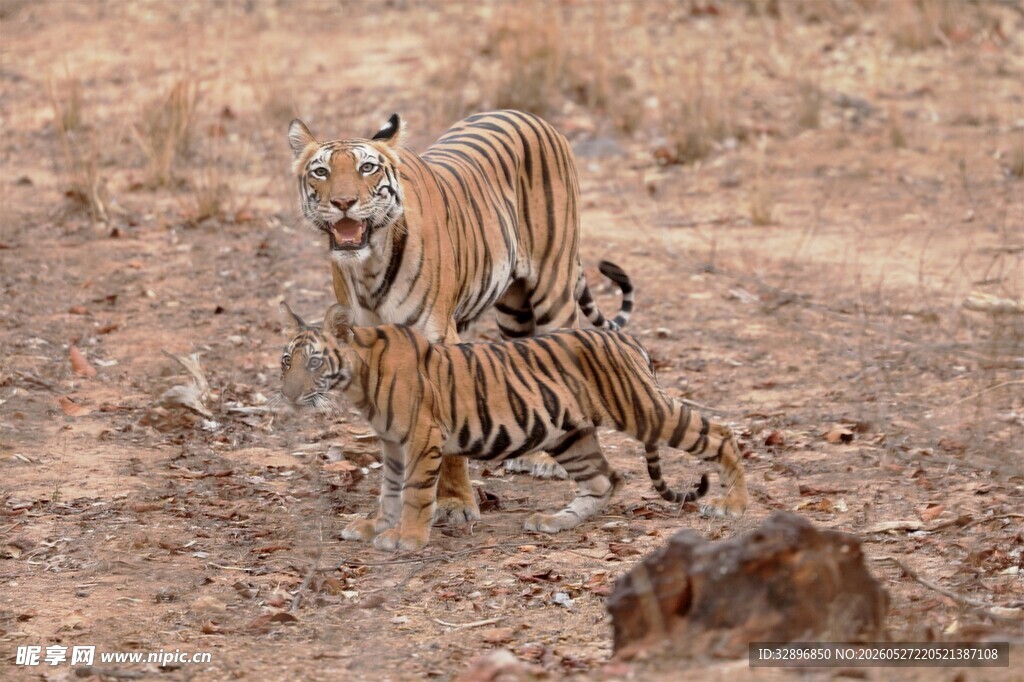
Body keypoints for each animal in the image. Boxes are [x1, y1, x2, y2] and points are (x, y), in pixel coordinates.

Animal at [279, 302, 748, 552]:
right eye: (287, 360)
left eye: (314, 362)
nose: (287, 394)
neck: (358, 379)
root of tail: (628, 339)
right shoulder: (392, 444)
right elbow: (389, 491)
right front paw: (376, 525)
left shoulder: (422, 438)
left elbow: (414, 492)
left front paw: (407, 537)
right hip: (570, 435)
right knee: (605, 480)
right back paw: (555, 521)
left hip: (645, 409)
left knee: (722, 433)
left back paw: (733, 505)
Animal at [287, 110, 636, 524]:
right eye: (320, 171)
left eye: (367, 168)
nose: (343, 202)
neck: (368, 267)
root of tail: (528, 115)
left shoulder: (436, 339)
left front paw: (454, 503)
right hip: (514, 311)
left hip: (554, 288)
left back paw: (548, 463)